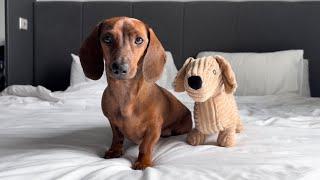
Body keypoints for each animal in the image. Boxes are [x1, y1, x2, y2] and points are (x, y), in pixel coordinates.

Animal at [79, 16, 192, 169]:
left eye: (139, 40)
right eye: (107, 38)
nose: (119, 67)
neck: (125, 93)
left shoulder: (153, 128)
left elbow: (145, 146)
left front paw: (143, 161)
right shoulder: (113, 122)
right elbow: (117, 137)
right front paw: (115, 150)